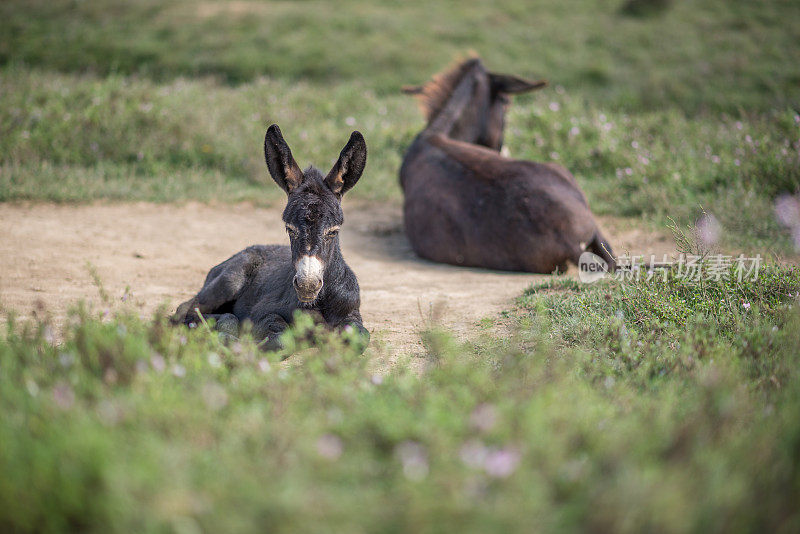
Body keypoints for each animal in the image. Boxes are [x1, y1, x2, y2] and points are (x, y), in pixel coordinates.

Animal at [171, 125, 368, 352]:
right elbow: (282, 339)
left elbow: (362, 337)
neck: (318, 302)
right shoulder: (264, 313)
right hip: (230, 281)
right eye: (289, 229)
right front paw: (231, 339)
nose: (307, 284)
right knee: (185, 310)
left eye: (333, 232)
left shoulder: (353, 314)